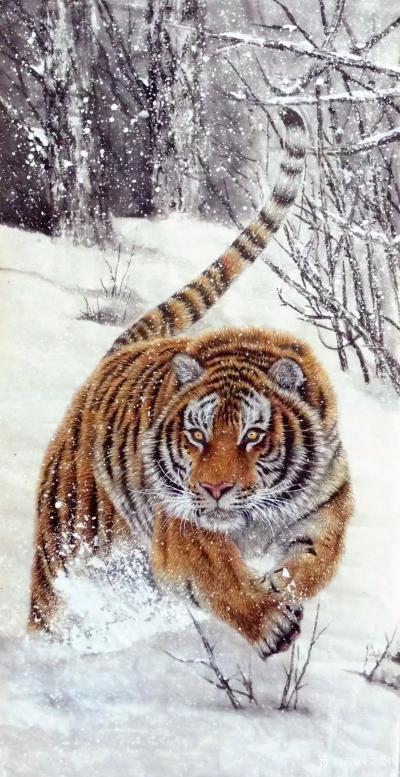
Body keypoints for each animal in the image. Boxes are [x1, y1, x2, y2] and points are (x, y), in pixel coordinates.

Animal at [29, 108, 352, 659]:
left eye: (252, 436)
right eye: (197, 435)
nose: (214, 489)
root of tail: (117, 353)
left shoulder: (328, 504)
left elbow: (317, 560)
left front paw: (281, 586)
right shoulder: (182, 526)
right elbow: (218, 575)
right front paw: (269, 622)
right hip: (67, 535)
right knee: (48, 605)